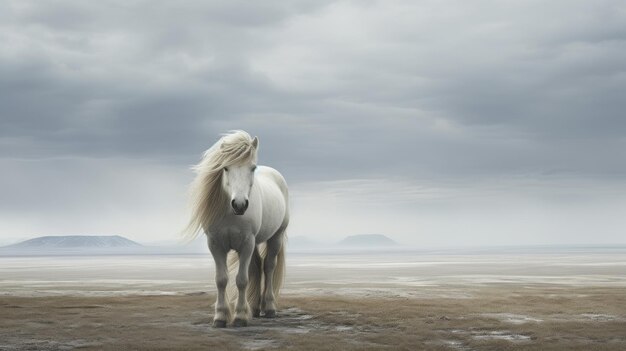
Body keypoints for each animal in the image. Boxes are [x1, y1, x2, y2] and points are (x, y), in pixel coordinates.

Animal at [180, 131, 288, 328]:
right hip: (255, 242)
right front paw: (220, 317)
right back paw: (255, 308)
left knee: (269, 266)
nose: (239, 205)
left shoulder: (246, 243)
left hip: (275, 236)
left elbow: (241, 280)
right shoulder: (215, 245)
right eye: (225, 168)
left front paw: (239, 317)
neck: (231, 214)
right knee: (257, 266)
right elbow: (221, 280)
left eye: (252, 168)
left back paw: (269, 308)